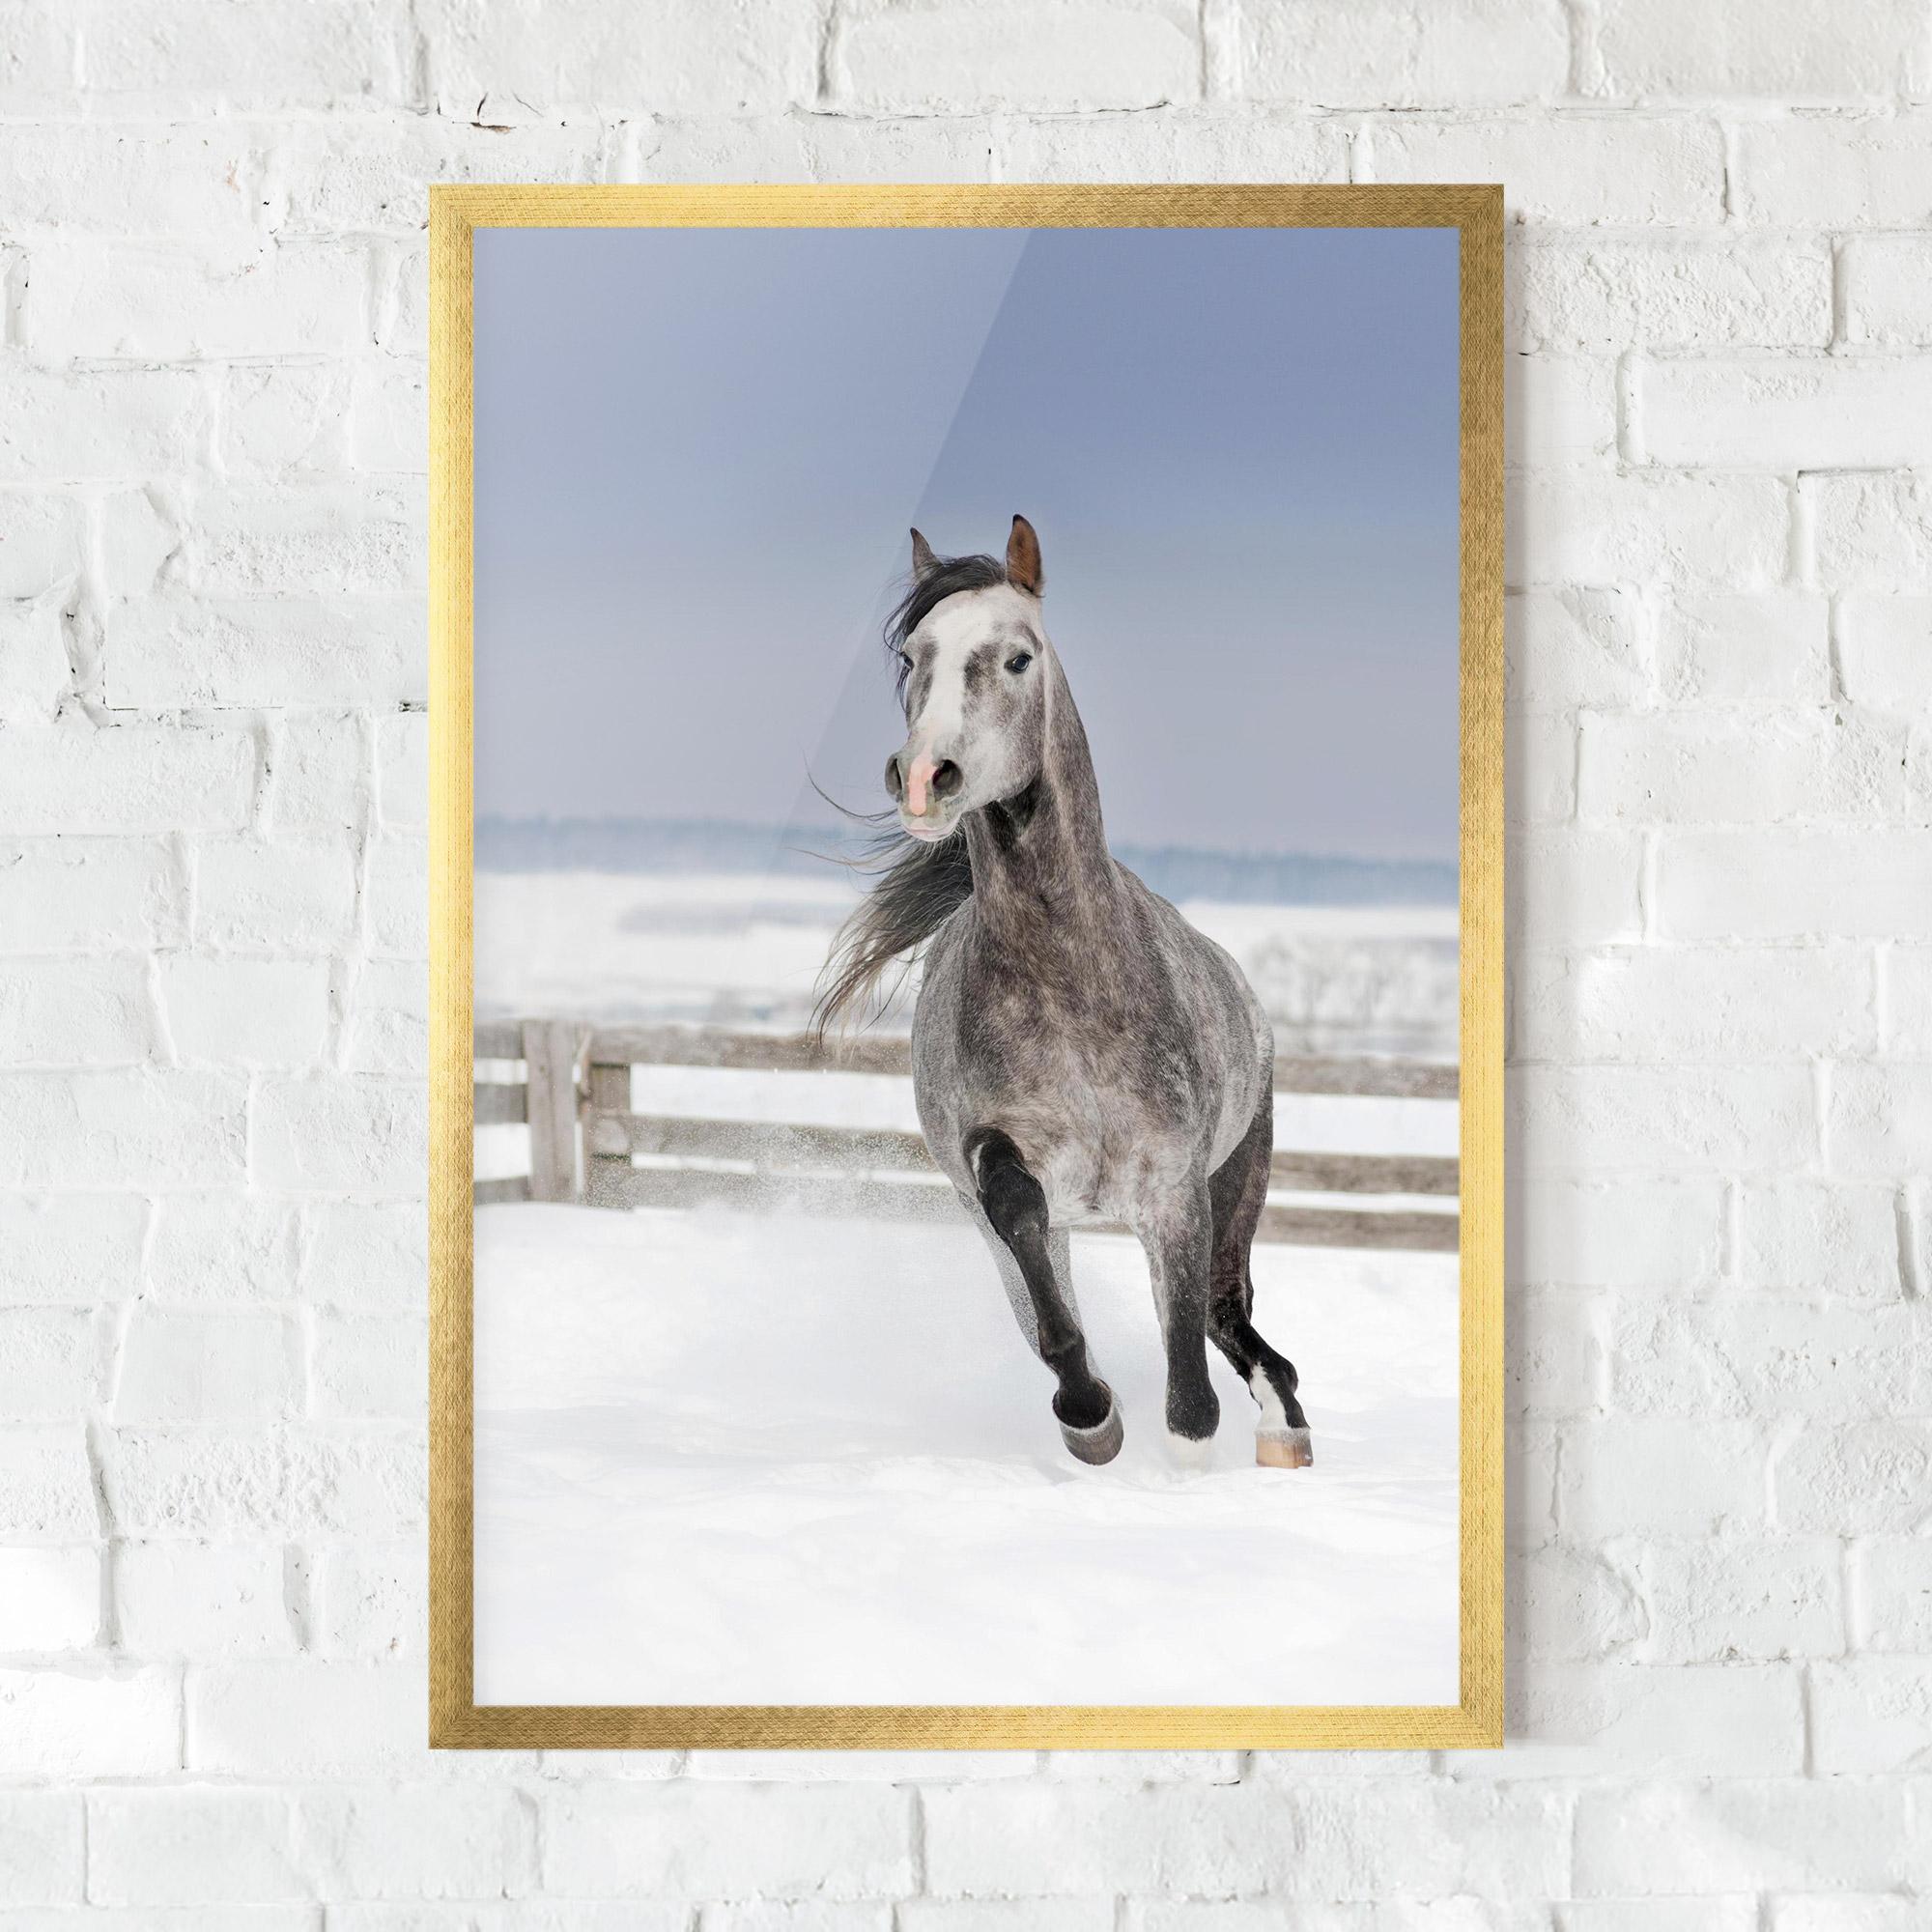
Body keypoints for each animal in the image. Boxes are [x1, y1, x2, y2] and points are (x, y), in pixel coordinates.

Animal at [816, 516, 1312, 1473]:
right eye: (913, 657)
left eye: (1018, 658)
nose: (924, 777)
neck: (1071, 986)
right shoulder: (1002, 1174)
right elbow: (1038, 1273)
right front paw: (1090, 1416)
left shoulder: (1175, 1191)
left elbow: (1189, 1381)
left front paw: (1185, 1453)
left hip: (1238, 1182)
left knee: (1230, 1316)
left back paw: (1284, 1431)